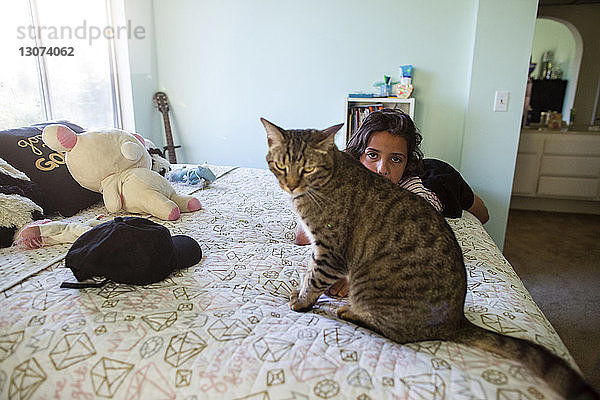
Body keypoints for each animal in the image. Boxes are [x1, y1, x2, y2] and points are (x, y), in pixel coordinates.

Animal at [264, 119, 600, 400]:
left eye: (308, 169)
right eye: (280, 165)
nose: (290, 184)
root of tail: (457, 321)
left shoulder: (331, 250)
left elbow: (314, 278)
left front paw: (300, 301)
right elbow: (310, 272)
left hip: (373, 292)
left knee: (395, 333)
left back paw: (350, 312)